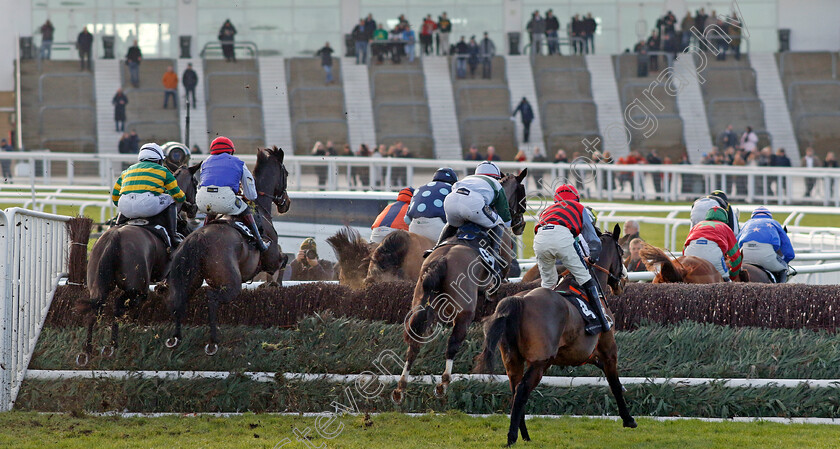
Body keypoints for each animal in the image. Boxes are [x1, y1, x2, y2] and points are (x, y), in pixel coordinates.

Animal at [80, 163, 202, 362]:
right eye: (195, 183)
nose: (194, 209)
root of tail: (114, 238)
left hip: (98, 284)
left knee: (96, 309)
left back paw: (87, 350)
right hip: (136, 286)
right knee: (120, 305)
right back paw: (112, 345)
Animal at [164, 147, 292, 354]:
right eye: (286, 173)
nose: (286, 203)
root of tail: (199, 238)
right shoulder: (272, 258)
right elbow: (283, 261)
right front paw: (274, 284)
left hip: (188, 279)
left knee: (179, 300)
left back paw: (175, 338)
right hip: (230, 283)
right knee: (211, 298)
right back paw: (213, 341)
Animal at [392, 170, 524, 400]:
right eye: (522, 194)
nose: (521, 225)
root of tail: (441, 261)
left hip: (419, 302)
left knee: (414, 343)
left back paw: (401, 386)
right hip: (465, 311)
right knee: (453, 343)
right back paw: (443, 384)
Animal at [476, 226, 632, 446]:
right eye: (622, 252)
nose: (623, 281)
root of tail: (519, 301)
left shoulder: (580, 354)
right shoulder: (609, 348)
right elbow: (615, 384)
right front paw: (629, 419)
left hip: (512, 360)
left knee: (515, 391)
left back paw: (525, 435)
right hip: (539, 362)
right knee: (522, 390)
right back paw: (512, 437)